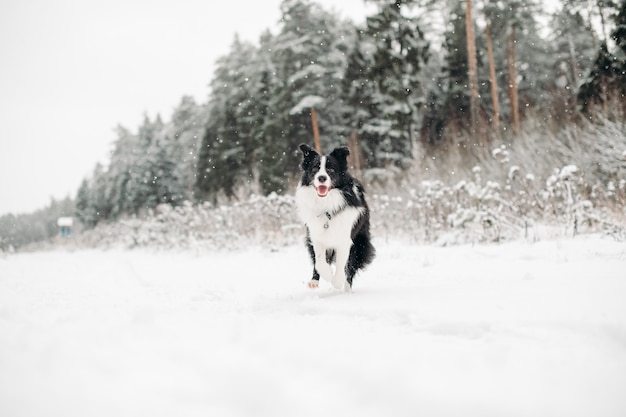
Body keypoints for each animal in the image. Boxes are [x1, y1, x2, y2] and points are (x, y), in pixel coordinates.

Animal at [294, 143, 372, 290]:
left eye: (330, 170)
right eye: (315, 169)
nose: (321, 178)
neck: (327, 205)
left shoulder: (345, 238)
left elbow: (342, 263)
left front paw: (336, 281)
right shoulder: (316, 236)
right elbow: (319, 261)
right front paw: (328, 274)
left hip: (360, 243)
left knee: (350, 268)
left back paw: (346, 289)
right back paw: (314, 281)